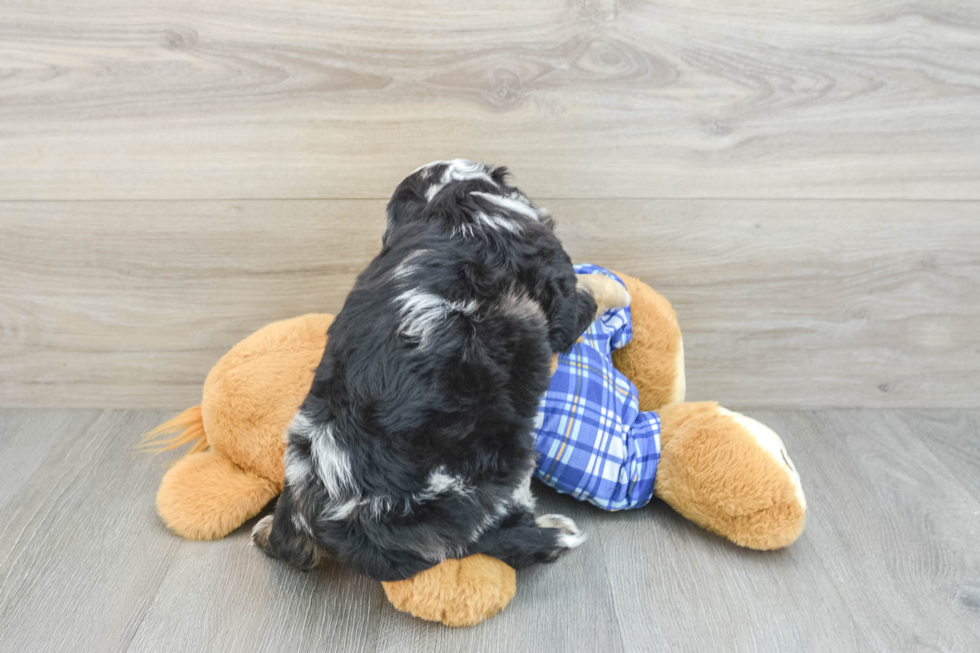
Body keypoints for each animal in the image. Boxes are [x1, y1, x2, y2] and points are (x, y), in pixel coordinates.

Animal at [253, 159, 632, 580]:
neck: (446, 200)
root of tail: (329, 517)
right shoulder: (559, 294)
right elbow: (587, 291)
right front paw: (617, 287)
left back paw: (266, 529)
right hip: (492, 464)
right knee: (487, 539)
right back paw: (552, 533)